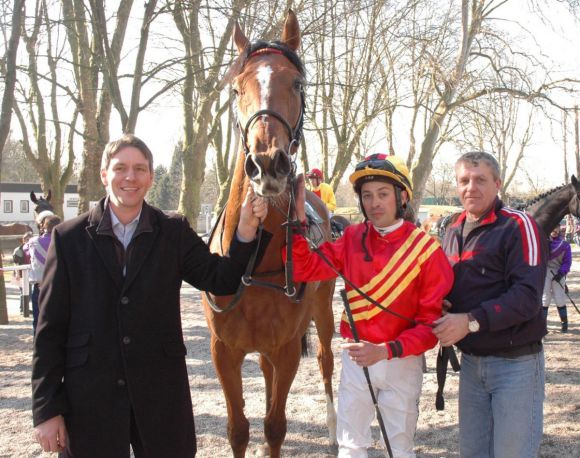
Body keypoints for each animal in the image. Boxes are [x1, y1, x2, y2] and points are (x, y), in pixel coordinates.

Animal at [202, 10, 336, 458]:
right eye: (237, 87)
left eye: (296, 83)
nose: (267, 163)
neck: (252, 264)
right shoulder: (223, 351)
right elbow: (238, 429)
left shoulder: (287, 349)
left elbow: (275, 426)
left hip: (324, 314)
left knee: (326, 360)